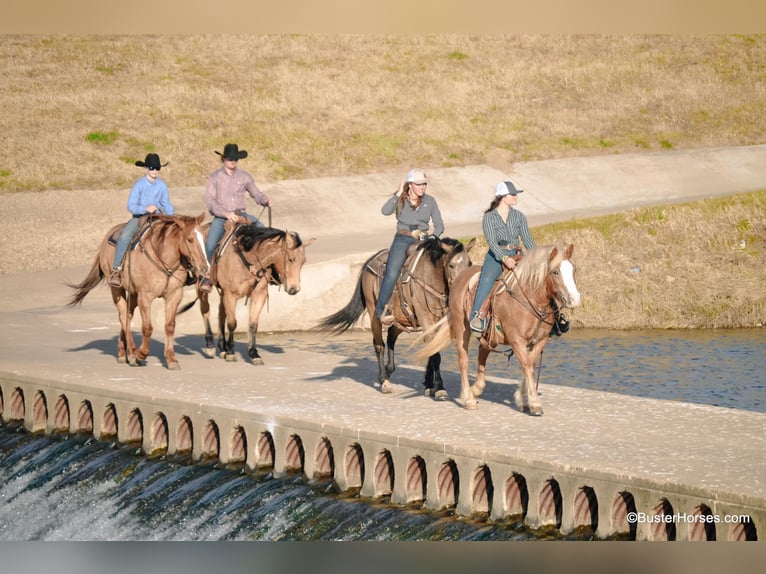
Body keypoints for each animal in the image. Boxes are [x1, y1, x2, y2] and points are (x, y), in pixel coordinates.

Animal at [66, 214, 208, 372]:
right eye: (190, 239)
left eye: (204, 238)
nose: (204, 267)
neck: (163, 259)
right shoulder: (145, 297)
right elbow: (147, 328)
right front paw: (142, 354)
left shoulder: (174, 295)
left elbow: (170, 326)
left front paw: (171, 360)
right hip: (116, 289)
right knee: (123, 316)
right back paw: (133, 354)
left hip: (133, 294)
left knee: (127, 316)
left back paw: (123, 353)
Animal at [201, 225, 318, 364]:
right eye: (290, 259)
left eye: (303, 261)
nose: (294, 289)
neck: (250, 262)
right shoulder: (230, 295)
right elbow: (232, 323)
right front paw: (231, 352)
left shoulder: (259, 295)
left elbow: (253, 324)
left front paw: (253, 353)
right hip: (203, 289)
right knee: (206, 312)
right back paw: (210, 346)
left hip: (223, 293)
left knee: (221, 314)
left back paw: (222, 347)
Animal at [314, 237, 472, 396]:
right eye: (451, 265)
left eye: (469, 263)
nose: (464, 285)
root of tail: (373, 258)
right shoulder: (426, 320)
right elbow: (434, 354)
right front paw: (439, 388)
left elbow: (432, 349)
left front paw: (429, 385)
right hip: (374, 315)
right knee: (379, 345)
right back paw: (385, 381)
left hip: (401, 318)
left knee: (390, 338)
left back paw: (388, 370)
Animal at [414, 245, 584, 416]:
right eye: (555, 272)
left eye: (574, 269)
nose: (575, 299)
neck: (529, 298)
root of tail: (460, 278)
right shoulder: (517, 340)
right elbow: (527, 366)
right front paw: (534, 403)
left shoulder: (540, 341)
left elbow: (530, 364)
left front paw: (522, 399)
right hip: (461, 328)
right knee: (463, 360)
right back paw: (468, 398)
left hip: (490, 336)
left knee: (482, 353)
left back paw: (476, 390)